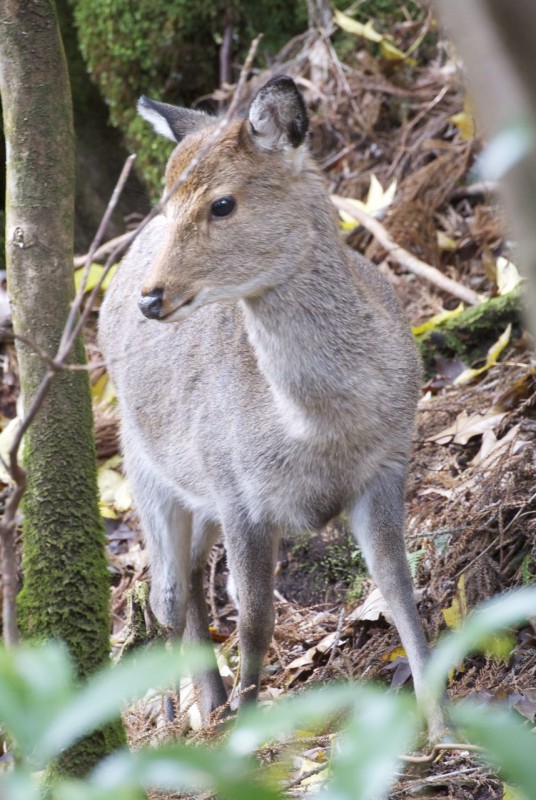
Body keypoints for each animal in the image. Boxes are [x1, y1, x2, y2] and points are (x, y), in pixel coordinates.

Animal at [98, 75, 442, 736]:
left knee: (193, 585)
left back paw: (208, 705)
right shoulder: (238, 491)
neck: (320, 431)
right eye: (168, 203)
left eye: (222, 204)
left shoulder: (388, 464)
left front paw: (444, 728)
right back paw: (187, 717)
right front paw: (247, 726)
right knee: (165, 596)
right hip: (144, 470)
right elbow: (256, 617)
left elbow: (398, 588)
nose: (151, 298)